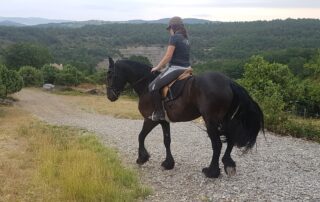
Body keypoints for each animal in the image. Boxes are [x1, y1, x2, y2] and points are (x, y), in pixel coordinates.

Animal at [106, 57, 264, 178]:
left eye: (110, 75)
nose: (110, 96)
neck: (147, 85)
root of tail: (228, 81)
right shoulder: (163, 121)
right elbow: (167, 140)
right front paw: (168, 163)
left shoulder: (150, 119)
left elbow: (140, 136)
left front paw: (142, 158)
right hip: (224, 119)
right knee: (230, 138)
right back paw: (228, 164)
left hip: (211, 121)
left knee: (217, 144)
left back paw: (211, 171)